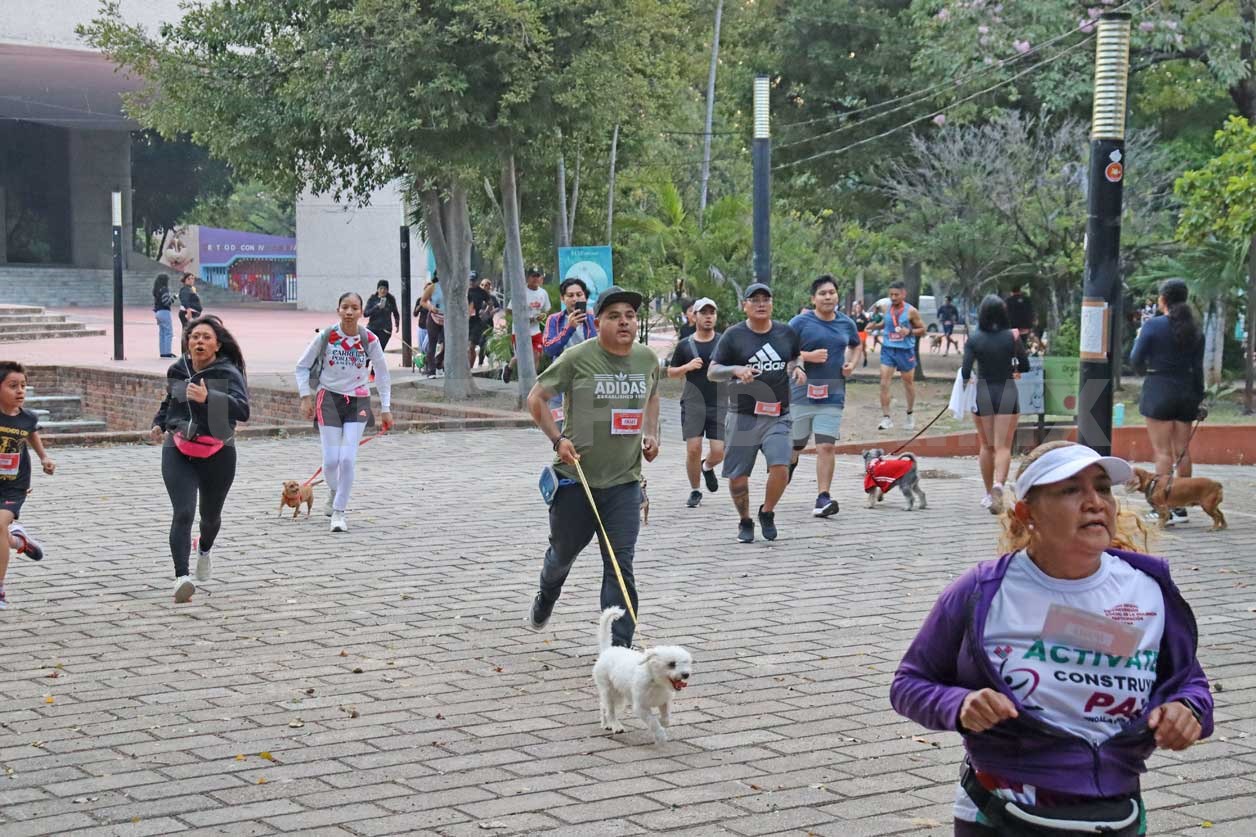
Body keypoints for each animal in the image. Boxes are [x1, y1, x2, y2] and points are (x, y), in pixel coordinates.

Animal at [592, 607, 692, 744]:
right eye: (672, 664)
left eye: (686, 662)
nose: (686, 674)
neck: (655, 682)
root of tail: (607, 650)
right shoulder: (641, 707)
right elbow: (653, 722)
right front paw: (660, 736)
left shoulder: (664, 702)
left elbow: (666, 717)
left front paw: (662, 723)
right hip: (609, 690)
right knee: (610, 710)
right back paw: (615, 726)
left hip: (618, 694)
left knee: (603, 705)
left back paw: (606, 724)